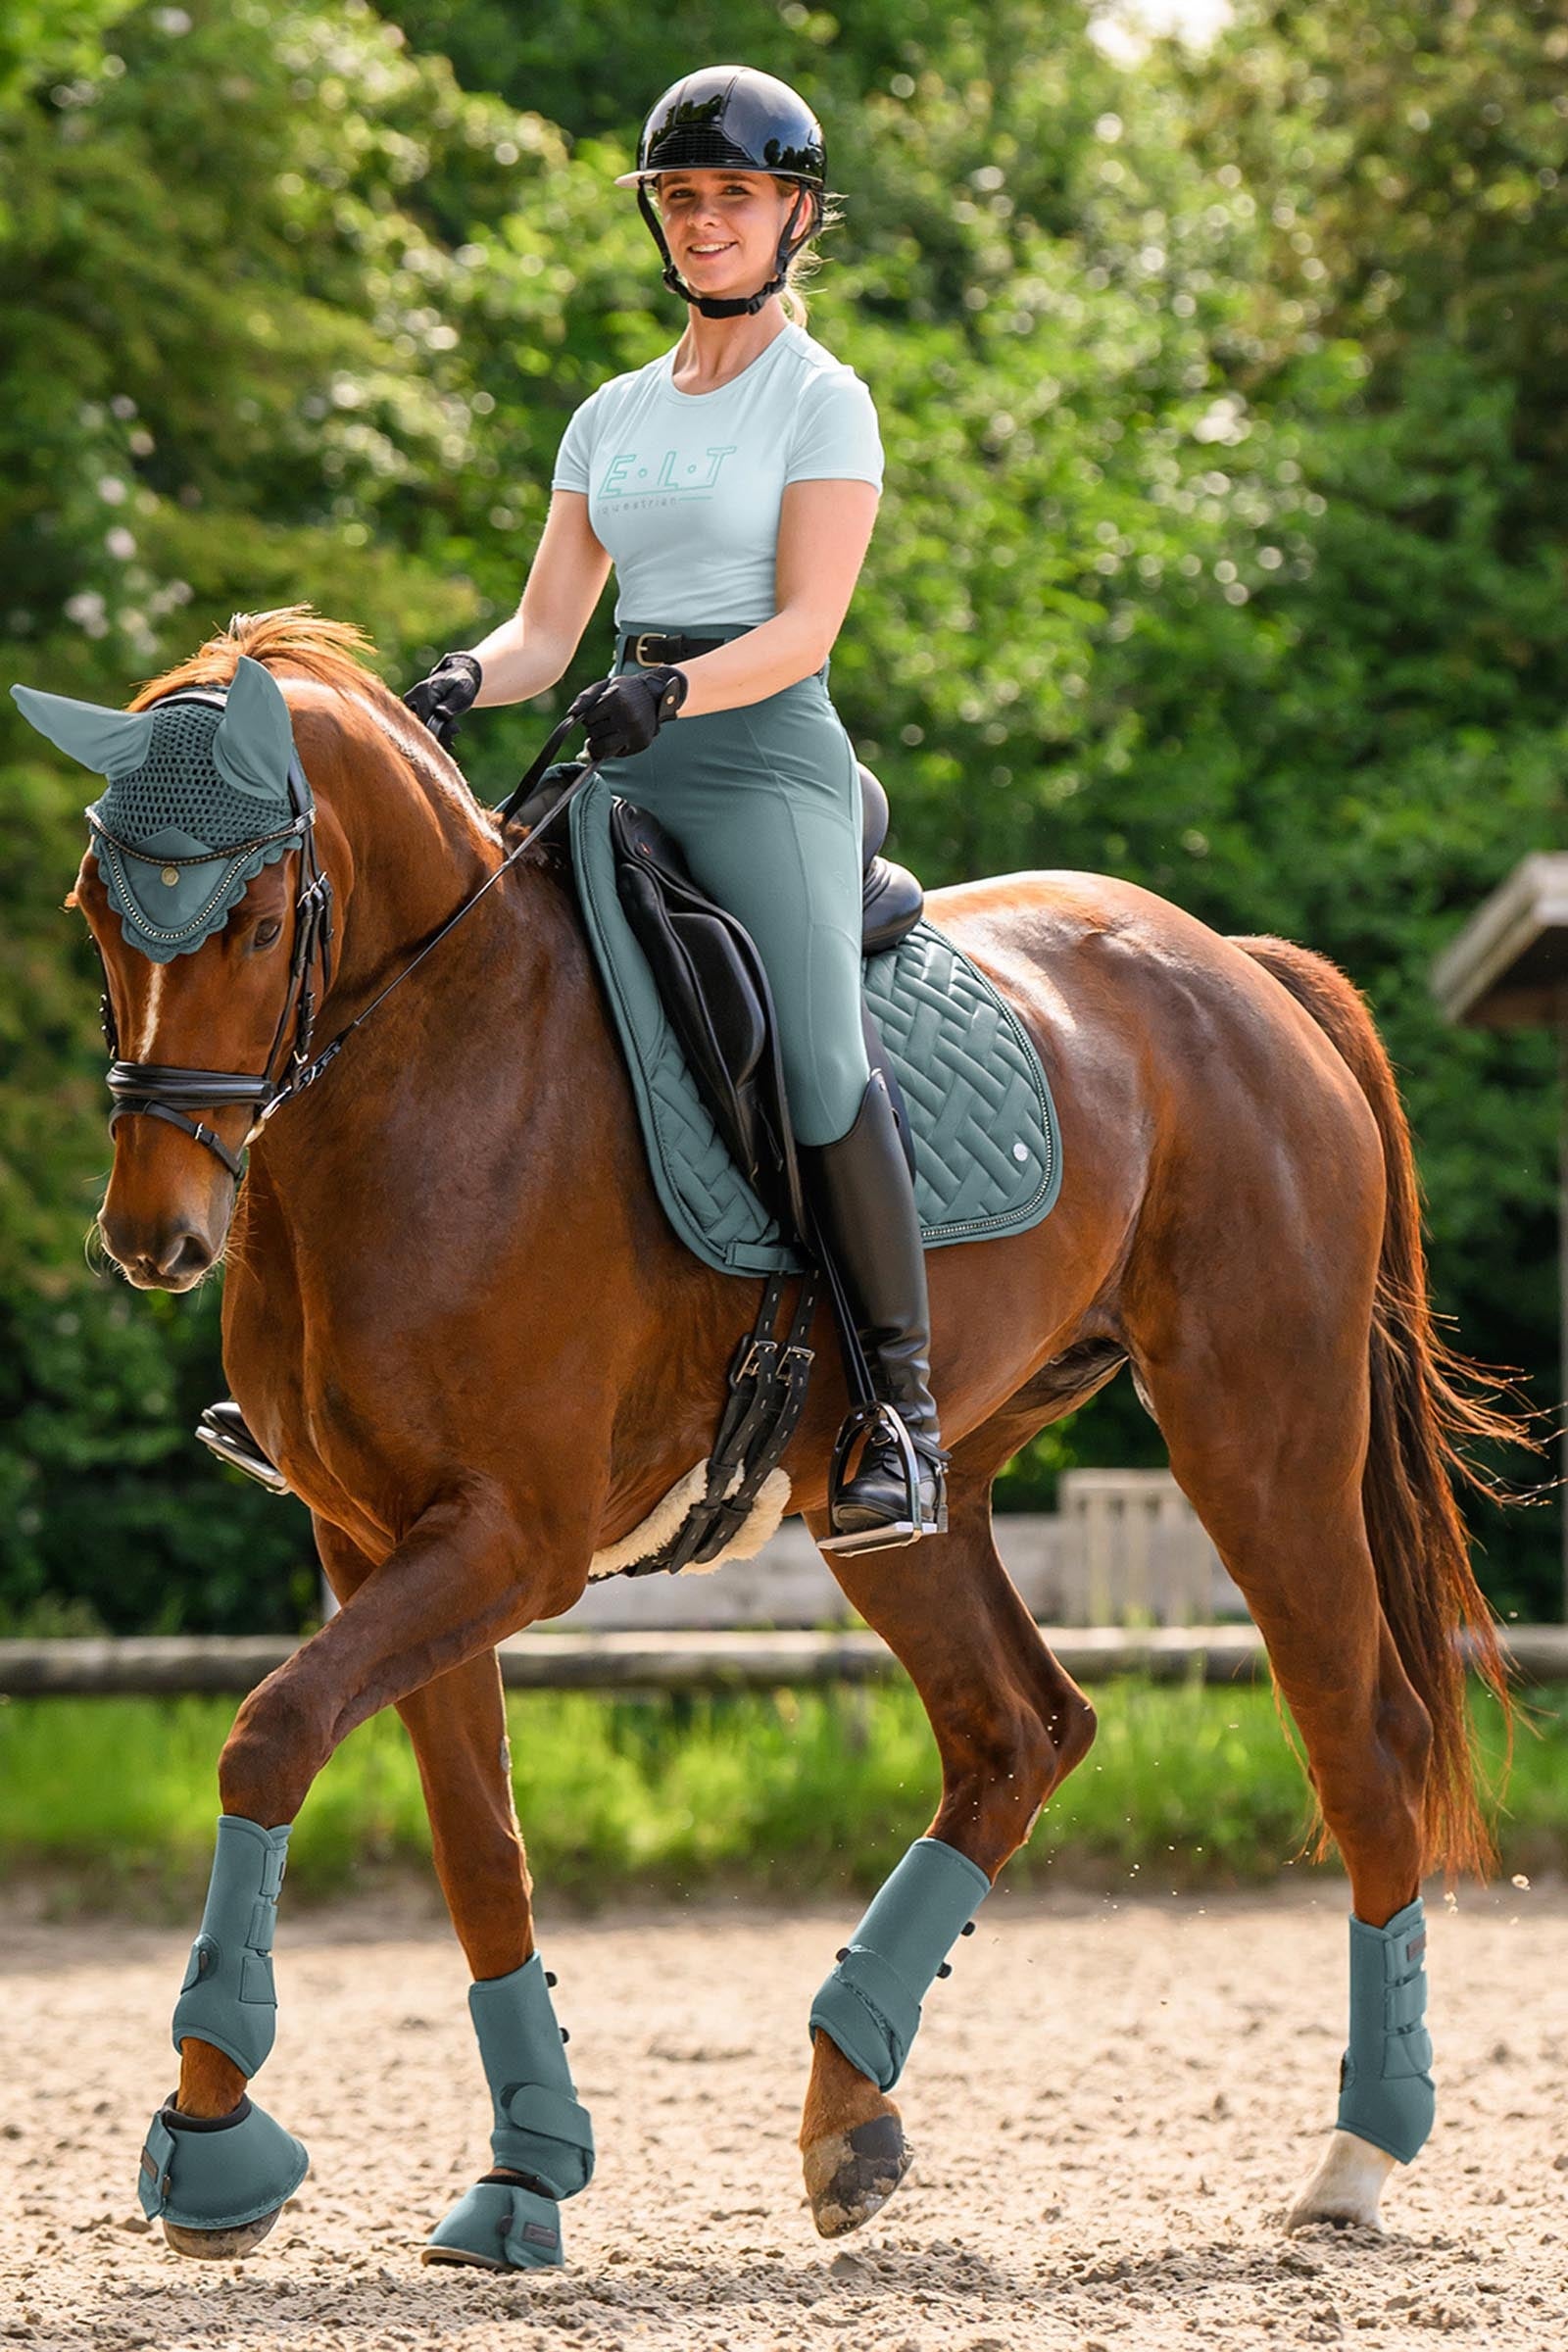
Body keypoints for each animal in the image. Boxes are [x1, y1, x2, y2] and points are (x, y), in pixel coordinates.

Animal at [54, 604, 1518, 2265]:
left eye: (249, 921)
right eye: (96, 908)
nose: (155, 1239)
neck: (429, 1064)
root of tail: (1239, 972)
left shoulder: (508, 1540)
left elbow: (271, 1735)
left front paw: (210, 2147)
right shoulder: (376, 1543)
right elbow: (476, 1844)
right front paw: (525, 2171)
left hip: (1257, 1434)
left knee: (1363, 1739)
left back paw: (1355, 2154)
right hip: (894, 1501)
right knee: (1019, 1731)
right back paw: (849, 2114)